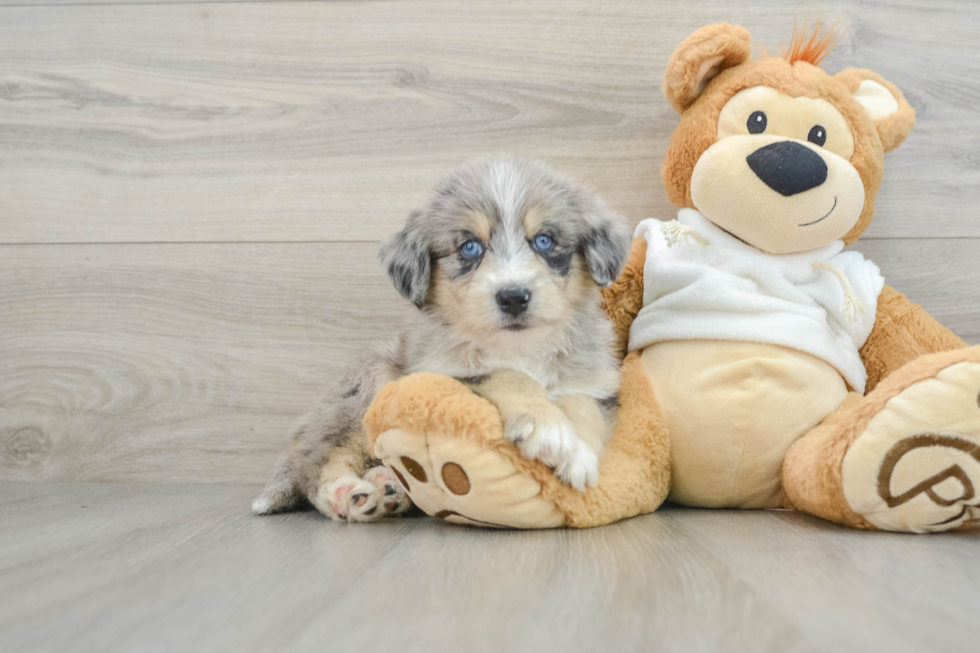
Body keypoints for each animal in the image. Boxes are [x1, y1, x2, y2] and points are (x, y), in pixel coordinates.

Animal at [253, 155, 632, 524]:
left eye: (544, 240)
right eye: (470, 247)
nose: (513, 297)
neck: (518, 348)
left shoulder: (597, 385)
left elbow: (582, 405)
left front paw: (577, 452)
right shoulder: (443, 374)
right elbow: (510, 375)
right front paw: (549, 430)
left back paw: (388, 488)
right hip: (370, 384)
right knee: (317, 461)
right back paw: (348, 494)